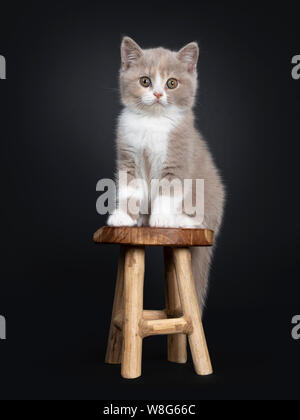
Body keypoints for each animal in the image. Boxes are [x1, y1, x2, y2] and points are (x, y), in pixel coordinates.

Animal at [106, 37, 224, 312]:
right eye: (145, 81)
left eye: (172, 83)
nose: (158, 94)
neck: (152, 122)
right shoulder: (128, 155)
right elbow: (130, 189)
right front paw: (124, 217)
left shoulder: (178, 156)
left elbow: (168, 190)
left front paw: (159, 219)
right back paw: (141, 218)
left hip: (210, 195)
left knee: (203, 219)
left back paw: (179, 220)